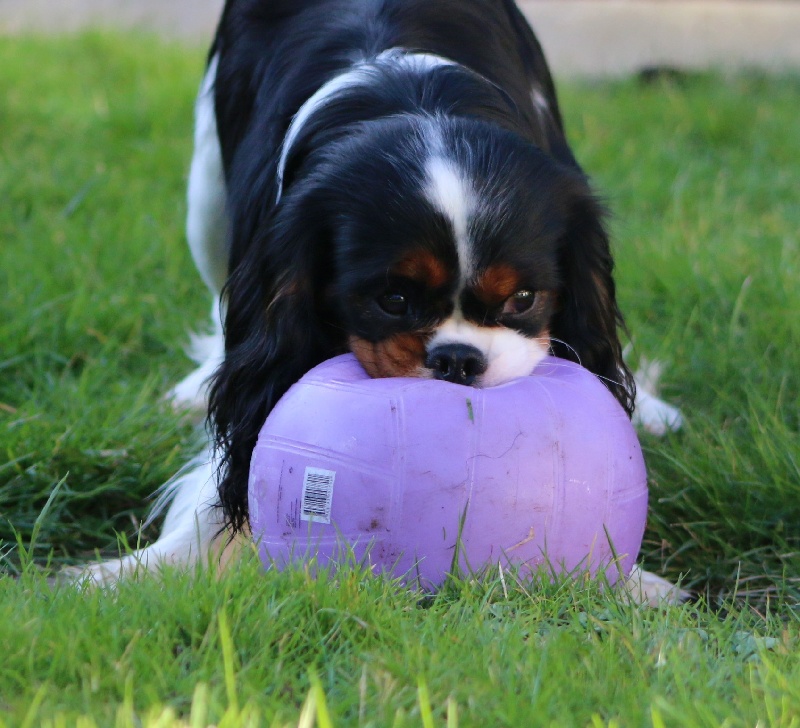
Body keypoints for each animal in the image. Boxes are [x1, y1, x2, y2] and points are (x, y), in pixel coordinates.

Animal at [75, 0, 680, 604]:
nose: (458, 360)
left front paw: (633, 583)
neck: (414, 102)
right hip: (206, 200)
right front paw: (136, 573)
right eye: (393, 299)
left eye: (523, 299)